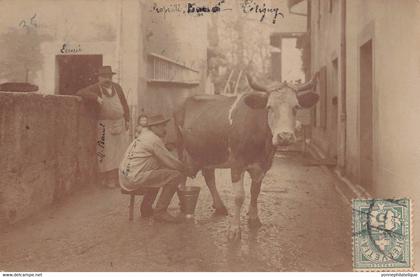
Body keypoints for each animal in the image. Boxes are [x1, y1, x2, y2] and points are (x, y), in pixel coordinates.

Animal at [173, 71, 318, 239]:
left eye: (296, 107)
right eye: (269, 107)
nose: (285, 136)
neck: (263, 147)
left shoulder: (263, 165)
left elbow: (255, 192)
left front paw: (254, 219)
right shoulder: (237, 163)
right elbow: (239, 196)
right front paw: (234, 229)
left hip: (208, 152)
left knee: (209, 176)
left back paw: (219, 206)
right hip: (180, 148)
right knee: (181, 176)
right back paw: (184, 205)